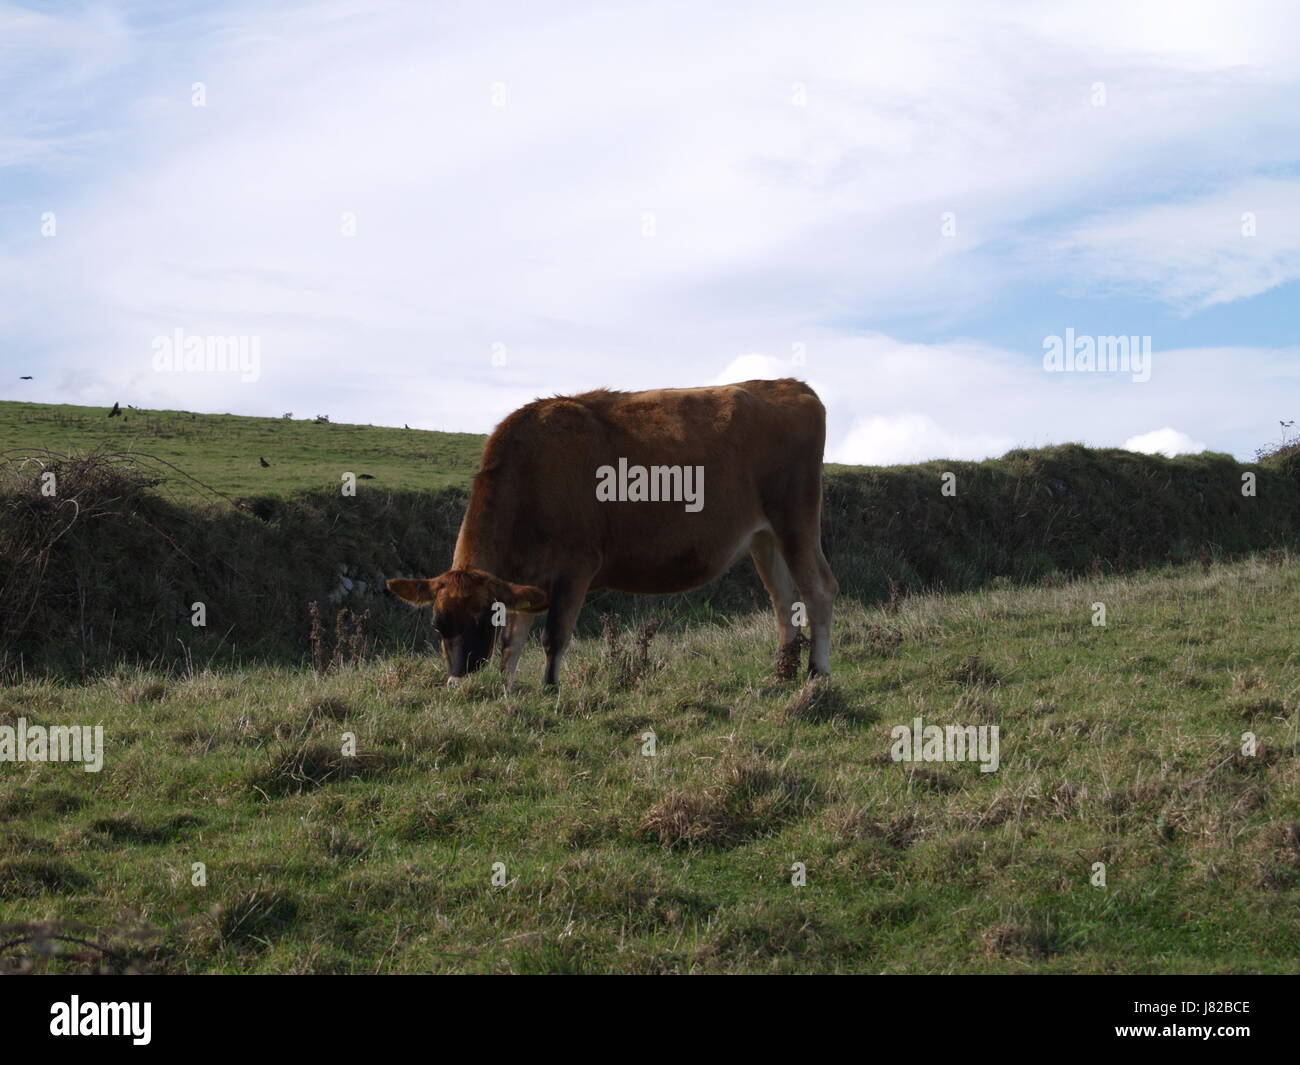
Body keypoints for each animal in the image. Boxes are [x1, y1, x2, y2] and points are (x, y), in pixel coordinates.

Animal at [384, 379, 837, 686]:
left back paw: (816, 673)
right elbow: (513, 641)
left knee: (818, 590)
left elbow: (553, 637)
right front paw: (506, 692)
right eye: (438, 625)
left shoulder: (576, 568)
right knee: (784, 600)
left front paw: (550, 691)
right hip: (765, 538)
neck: (530, 473)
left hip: (796, 520)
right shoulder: (525, 580)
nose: (458, 679)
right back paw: (781, 674)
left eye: (480, 619)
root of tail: (789, 384)